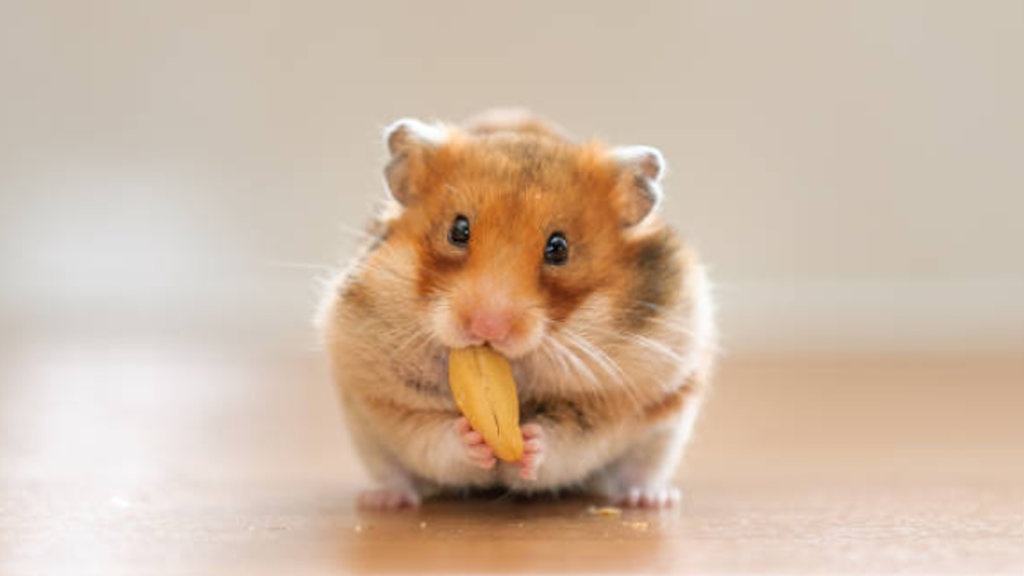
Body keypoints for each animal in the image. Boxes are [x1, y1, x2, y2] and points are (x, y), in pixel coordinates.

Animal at [319, 109, 716, 510]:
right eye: (458, 230)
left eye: (559, 248)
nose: (487, 328)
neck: (517, 370)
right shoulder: (383, 397)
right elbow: (432, 435)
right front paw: (471, 437)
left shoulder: (616, 400)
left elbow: (566, 438)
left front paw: (529, 442)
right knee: (395, 473)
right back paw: (384, 500)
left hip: (664, 432)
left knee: (637, 472)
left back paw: (650, 499)